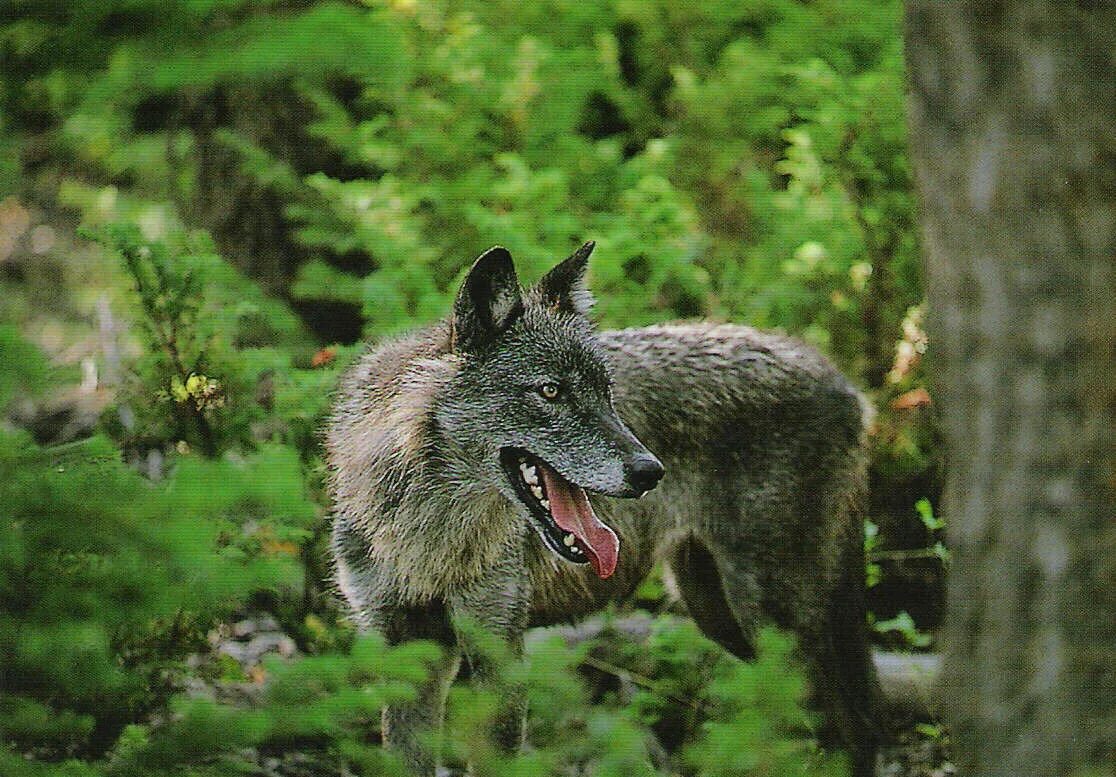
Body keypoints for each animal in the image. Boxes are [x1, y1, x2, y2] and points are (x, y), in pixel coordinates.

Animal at [325, 243, 883, 776]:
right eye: (551, 391)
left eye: (606, 394)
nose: (650, 472)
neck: (429, 530)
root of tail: (846, 384)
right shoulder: (404, 652)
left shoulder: (498, 649)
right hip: (718, 612)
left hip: (771, 618)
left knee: (850, 729)